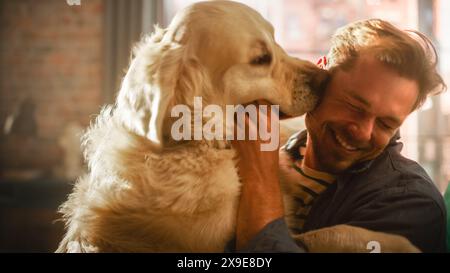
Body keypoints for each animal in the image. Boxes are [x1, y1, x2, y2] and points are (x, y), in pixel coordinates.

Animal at [56, 0, 418, 252]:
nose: (325, 79)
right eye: (260, 59)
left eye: (276, 39)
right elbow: (326, 234)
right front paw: (404, 243)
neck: (202, 143)